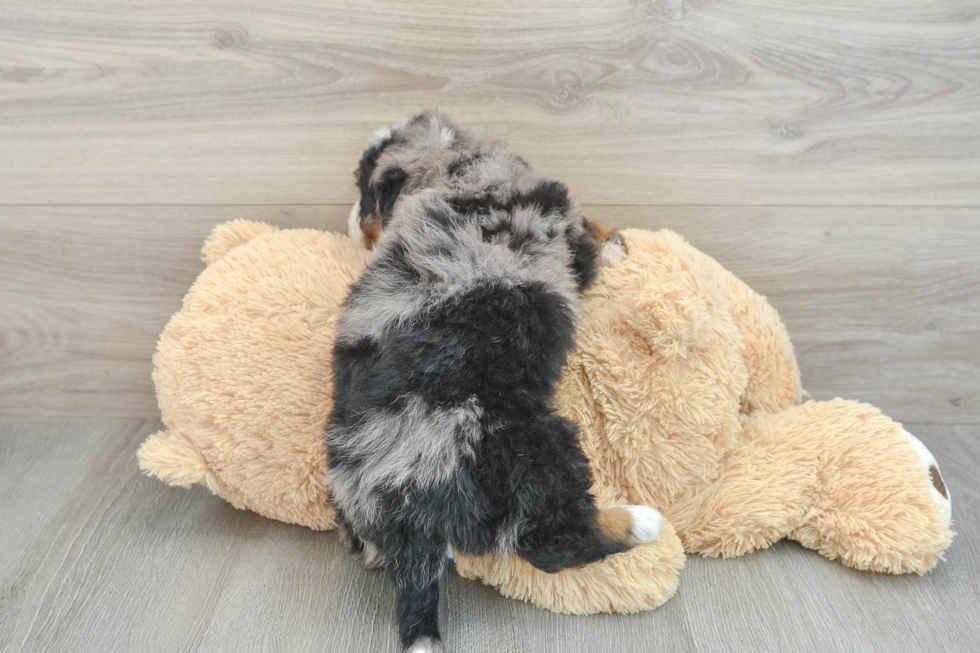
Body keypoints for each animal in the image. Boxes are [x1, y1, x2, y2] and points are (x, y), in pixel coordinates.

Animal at [328, 112, 660, 652]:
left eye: (364, 190)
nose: (352, 222)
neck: (453, 164)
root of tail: (407, 511)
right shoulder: (566, 228)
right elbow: (588, 237)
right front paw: (615, 246)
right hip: (533, 451)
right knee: (556, 541)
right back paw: (642, 522)